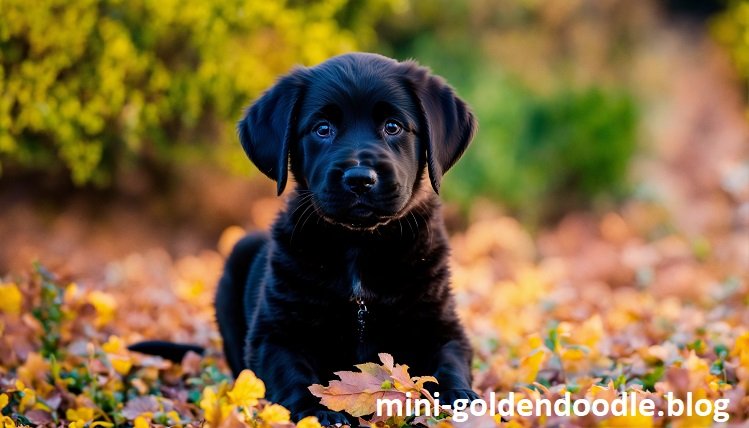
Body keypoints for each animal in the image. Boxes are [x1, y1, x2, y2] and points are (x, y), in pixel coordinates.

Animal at [132, 53, 476, 424]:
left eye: (393, 127)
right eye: (322, 129)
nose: (359, 178)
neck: (358, 245)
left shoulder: (441, 323)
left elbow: (450, 360)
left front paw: (460, 397)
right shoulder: (275, 333)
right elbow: (293, 372)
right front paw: (316, 410)